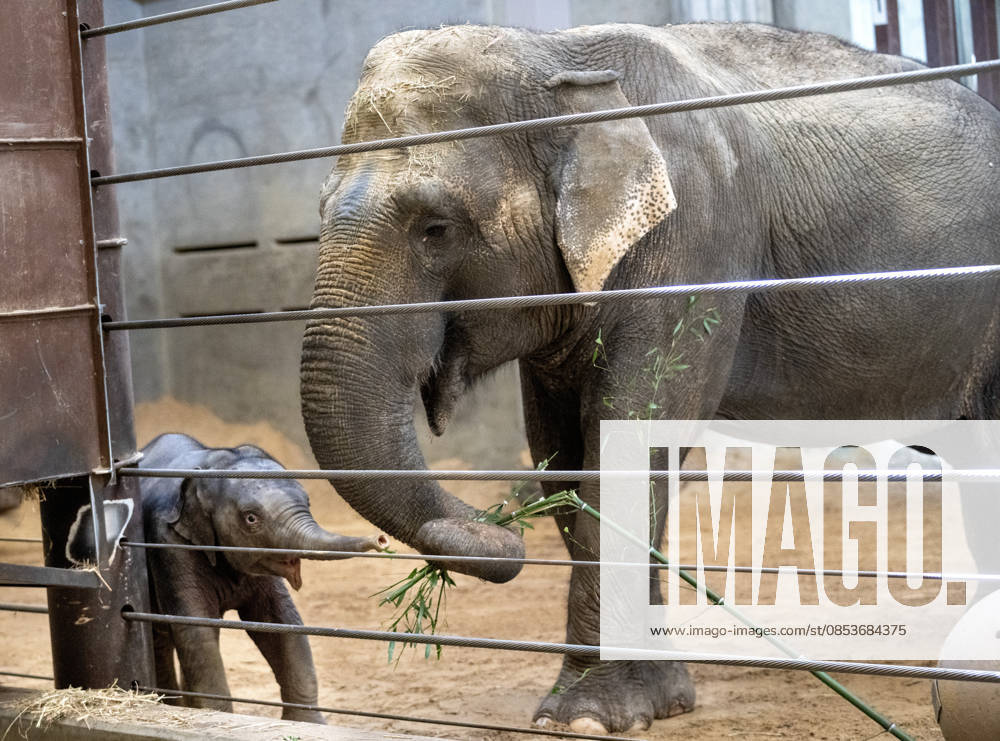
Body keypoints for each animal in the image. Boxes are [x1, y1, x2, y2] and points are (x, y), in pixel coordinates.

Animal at [139, 433, 388, 723]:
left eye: (308, 503)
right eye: (251, 518)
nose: (381, 540)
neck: (212, 463)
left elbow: (281, 622)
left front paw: (309, 723)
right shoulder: (169, 546)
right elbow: (196, 630)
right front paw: (217, 716)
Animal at [299, 22, 1000, 733]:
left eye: (436, 228)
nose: (500, 532)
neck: (558, 57)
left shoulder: (693, 242)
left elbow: (628, 443)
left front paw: (582, 717)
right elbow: (564, 464)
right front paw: (656, 704)